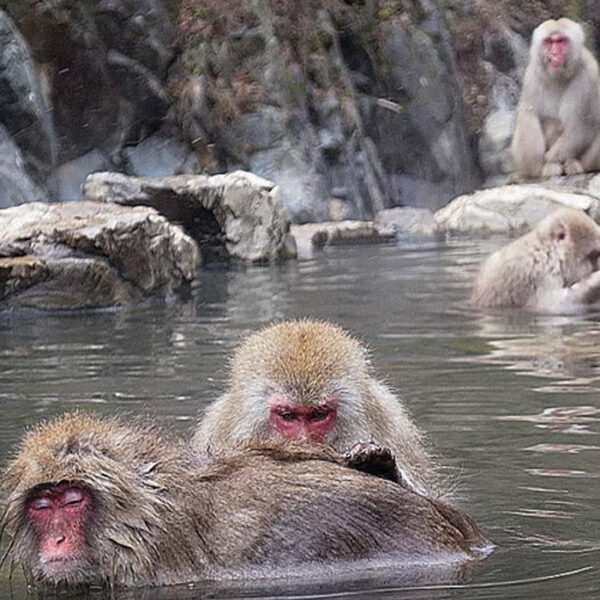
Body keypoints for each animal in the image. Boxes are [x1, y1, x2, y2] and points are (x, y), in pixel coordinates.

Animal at [472, 207, 600, 314]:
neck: (548, 252)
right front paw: (595, 280)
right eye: (594, 255)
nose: (597, 266)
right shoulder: (540, 274)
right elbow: (553, 305)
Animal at [510, 17, 600, 179]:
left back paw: (573, 163)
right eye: (549, 42)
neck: (559, 76)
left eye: (560, 41)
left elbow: (583, 123)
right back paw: (541, 169)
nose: (554, 53)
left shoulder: (589, 71)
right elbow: (539, 115)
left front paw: (551, 157)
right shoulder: (531, 75)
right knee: (527, 111)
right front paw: (549, 161)